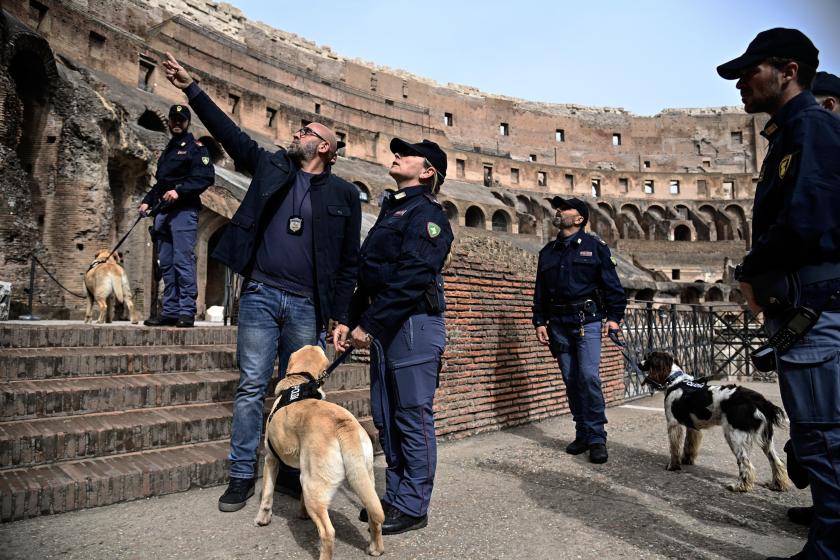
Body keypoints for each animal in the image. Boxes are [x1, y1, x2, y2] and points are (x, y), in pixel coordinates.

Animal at [254, 346, 386, 560]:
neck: (298, 382)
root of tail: (343, 426)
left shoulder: (271, 459)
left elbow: (267, 493)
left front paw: (262, 519)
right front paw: (302, 513)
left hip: (313, 485)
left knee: (327, 532)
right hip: (364, 479)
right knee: (374, 516)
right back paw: (375, 548)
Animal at [640, 352, 792, 492]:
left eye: (648, 357)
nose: (639, 362)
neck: (675, 381)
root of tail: (758, 400)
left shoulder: (673, 424)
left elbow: (674, 448)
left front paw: (673, 466)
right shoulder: (692, 427)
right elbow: (689, 445)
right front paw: (686, 461)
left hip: (734, 436)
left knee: (746, 463)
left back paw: (740, 486)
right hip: (766, 438)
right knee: (777, 461)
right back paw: (777, 485)